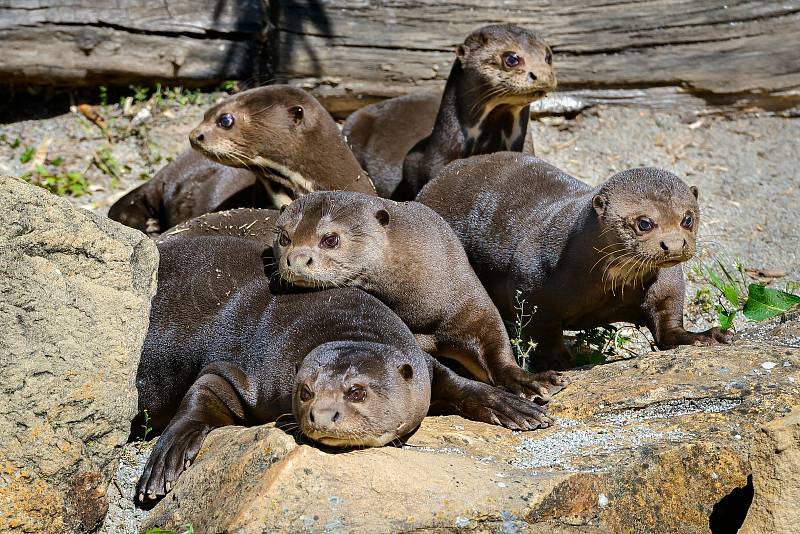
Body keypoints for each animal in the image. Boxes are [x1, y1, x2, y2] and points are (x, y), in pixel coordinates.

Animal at [134, 236, 552, 506]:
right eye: (305, 391)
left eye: (357, 391)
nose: (322, 415)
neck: (341, 324)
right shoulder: (247, 371)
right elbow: (204, 390)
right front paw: (165, 460)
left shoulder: (423, 365)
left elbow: (462, 385)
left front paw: (519, 406)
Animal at [416, 154, 736, 372]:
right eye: (644, 223)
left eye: (687, 218)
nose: (674, 245)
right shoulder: (531, 282)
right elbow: (542, 333)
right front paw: (561, 363)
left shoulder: (666, 283)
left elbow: (667, 322)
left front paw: (706, 335)